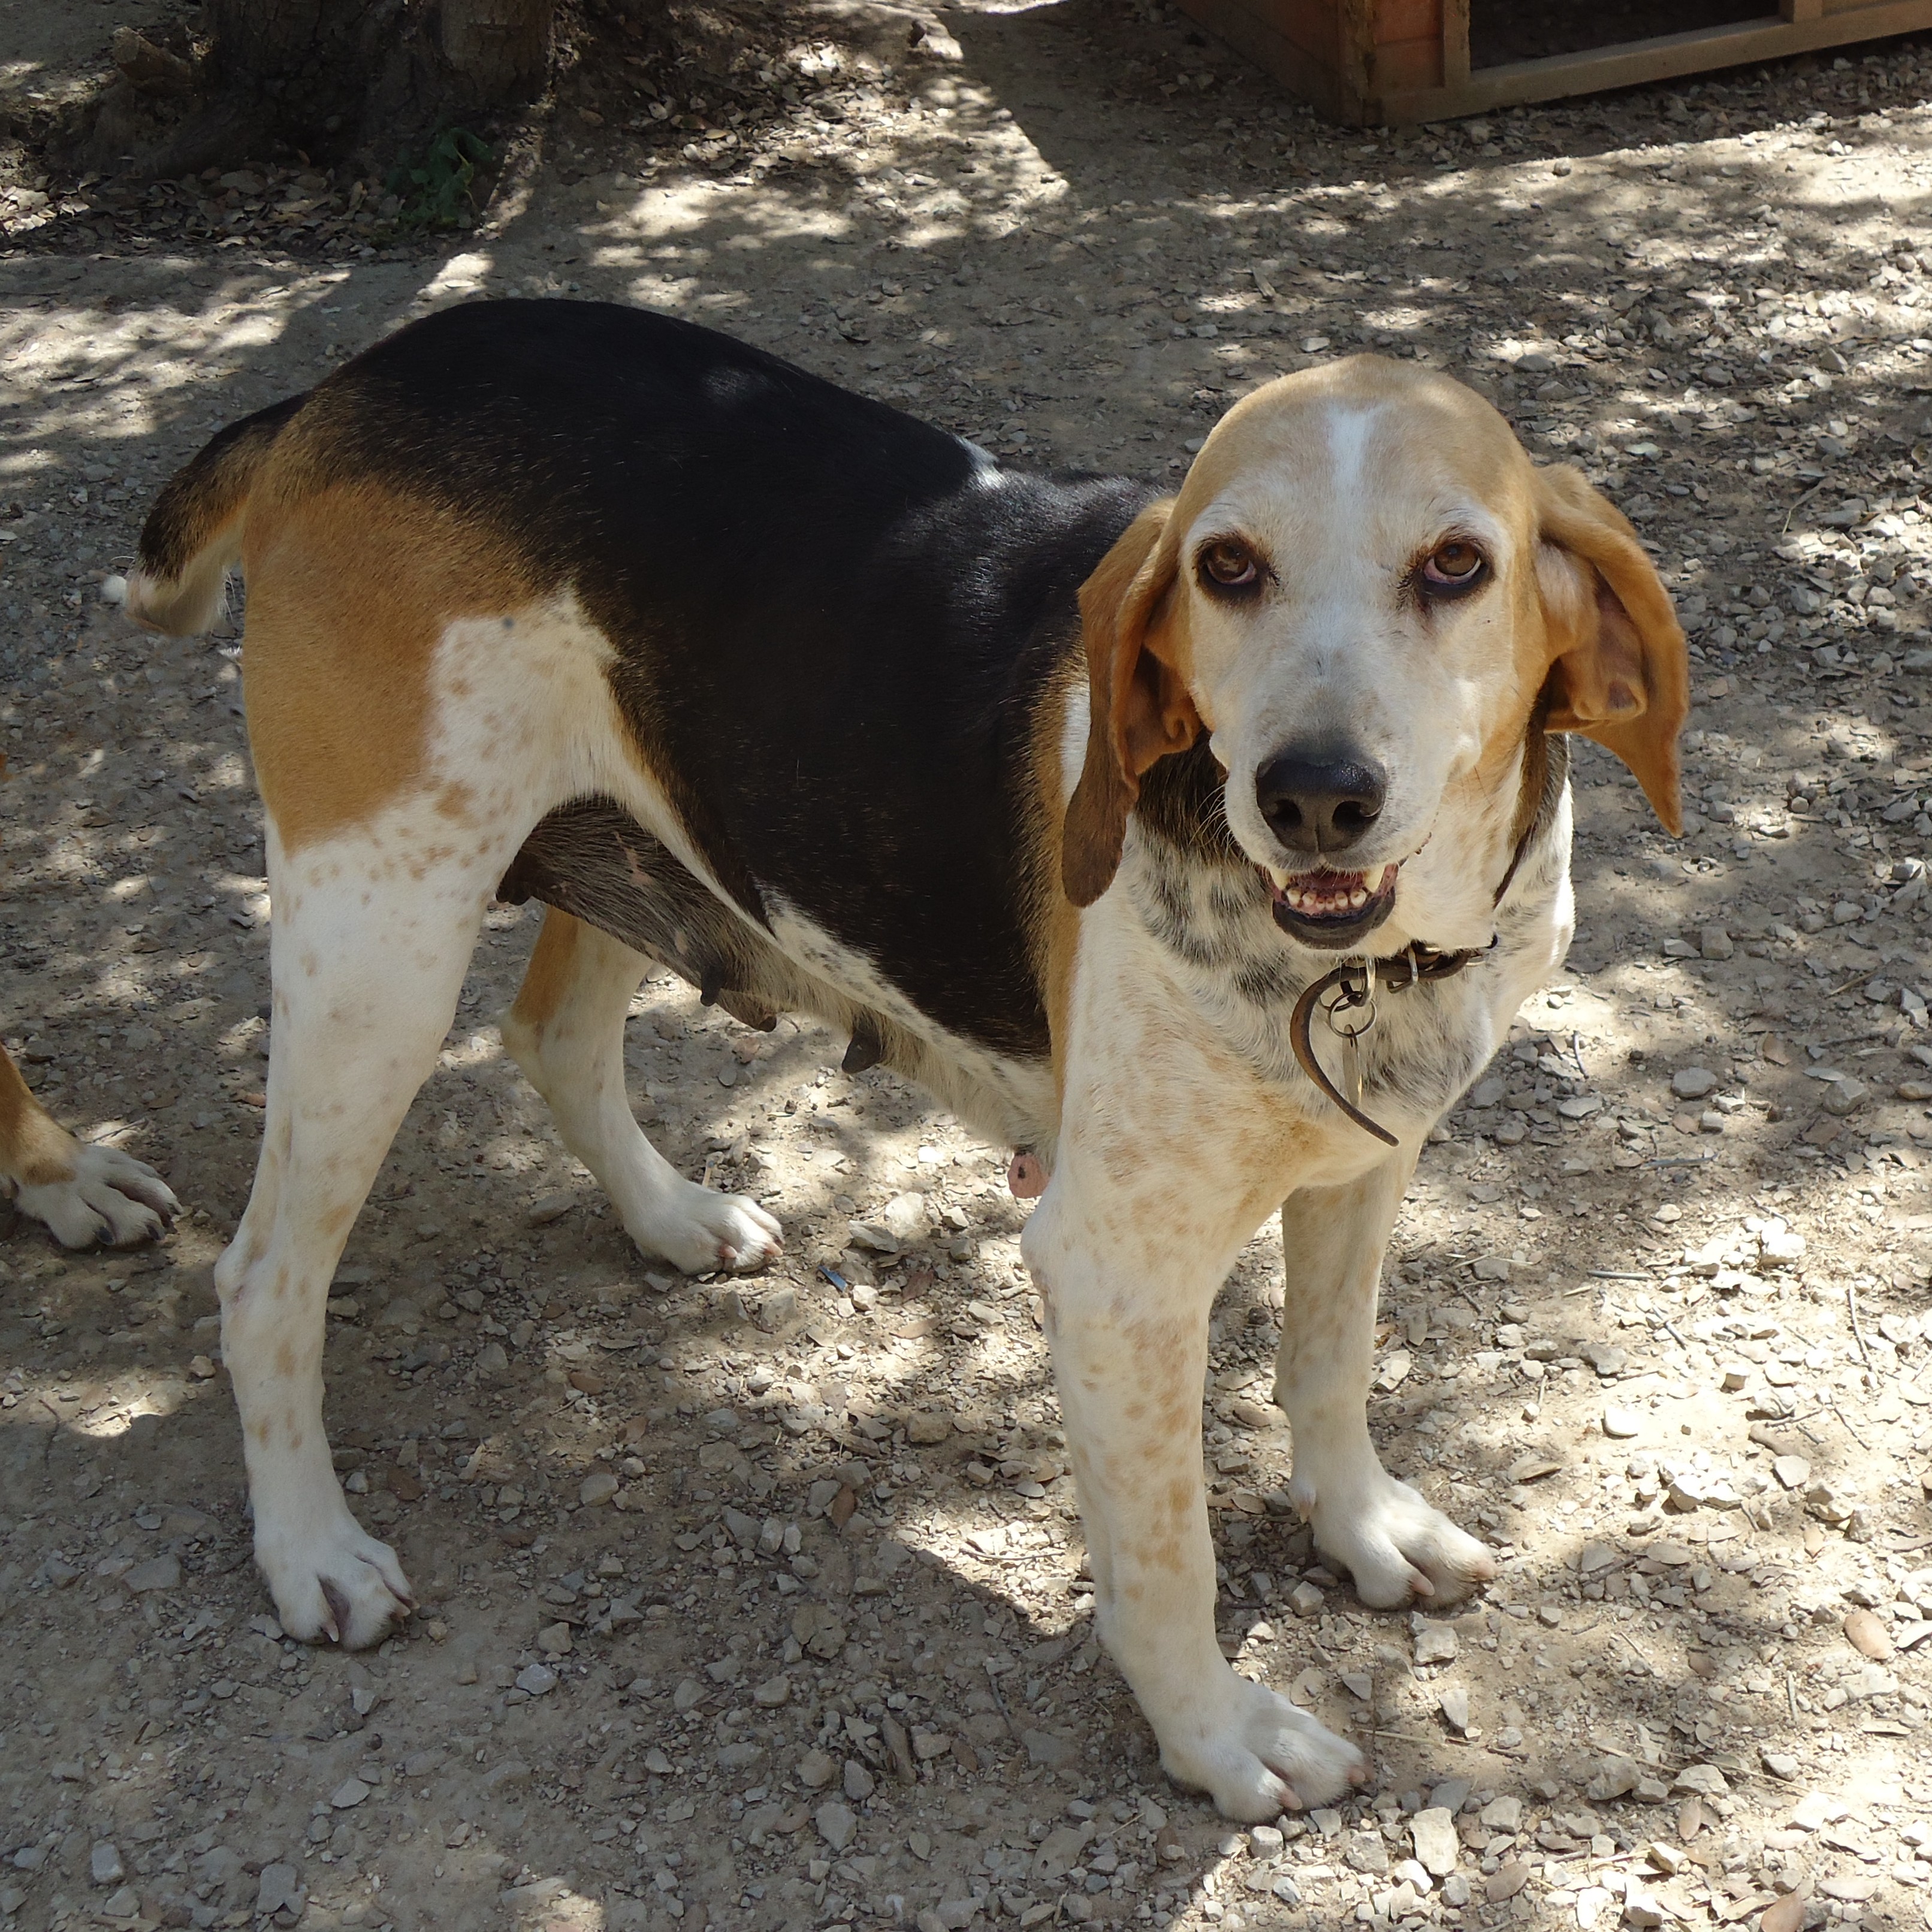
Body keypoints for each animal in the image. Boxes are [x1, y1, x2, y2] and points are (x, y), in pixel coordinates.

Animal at [128, 305, 1685, 1824]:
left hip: (640, 834)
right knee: (262, 1277)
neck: (1363, 961)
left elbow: (1331, 1364)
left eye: (1456, 565)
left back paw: (673, 1217)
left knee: (553, 1038)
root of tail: (341, 388)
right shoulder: (1115, 1274)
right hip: (376, 947)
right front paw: (1213, 1730)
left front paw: (1361, 1525)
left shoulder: (1367, 1155)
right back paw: (311, 1547)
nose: (1309, 794)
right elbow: (1168, 1554)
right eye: (1226, 567)